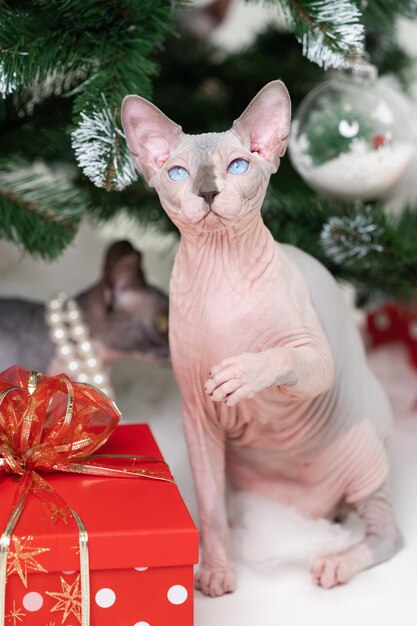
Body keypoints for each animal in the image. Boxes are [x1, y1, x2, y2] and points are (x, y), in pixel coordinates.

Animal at [122, 81, 402, 596]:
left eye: (238, 165)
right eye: (177, 172)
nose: (207, 191)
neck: (221, 276)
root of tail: (310, 511)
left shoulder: (315, 361)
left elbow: (281, 356)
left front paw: (239, 373)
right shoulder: (197, 417)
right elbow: (209, 511)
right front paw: (216, 571)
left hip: (367, 452)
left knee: (387, 533)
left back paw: (337, 562)